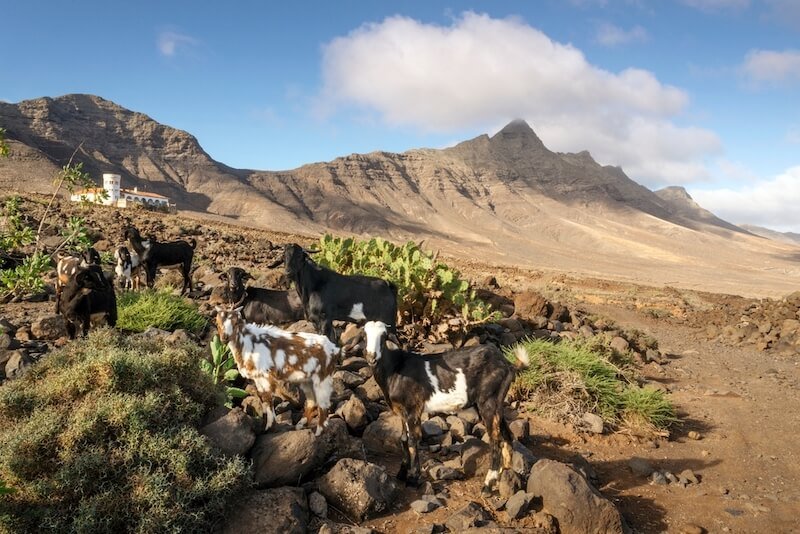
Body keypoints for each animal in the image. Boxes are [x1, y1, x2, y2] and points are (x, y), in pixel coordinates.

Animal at [214, 304, 340, 438]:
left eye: (236, 322)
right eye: (217, 322)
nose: (224, 338)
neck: (248, 343)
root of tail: (335, 350)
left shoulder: (265, 376)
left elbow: (268, 399)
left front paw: (269, 427)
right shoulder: (257, 378)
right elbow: (264, 398)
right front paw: (267, 426)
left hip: (322, 378)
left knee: (323, 404)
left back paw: (318, 432)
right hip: (307, 380)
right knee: (312, 401)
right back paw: (300, 425)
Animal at [270, 244, 398, 342]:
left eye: (299, 256)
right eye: (284, 256)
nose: (288, 272)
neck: (314, 284)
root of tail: (388, 285)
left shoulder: (325, 318)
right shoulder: (315, 320)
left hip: (388, 322)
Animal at [360, 320, 528, 496]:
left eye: (384, 337)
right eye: (364, 335)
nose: (372, 358)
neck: (395, 368)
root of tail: (508, 365)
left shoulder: (413, 408)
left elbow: (413, 440)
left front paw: (413, 478)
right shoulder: (401, 411)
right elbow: (403, 439)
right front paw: (401, 473)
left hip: (488, 400)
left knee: (495, 439)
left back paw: (487, 485)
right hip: (496, 402)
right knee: (506, 434)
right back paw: (505, 473)